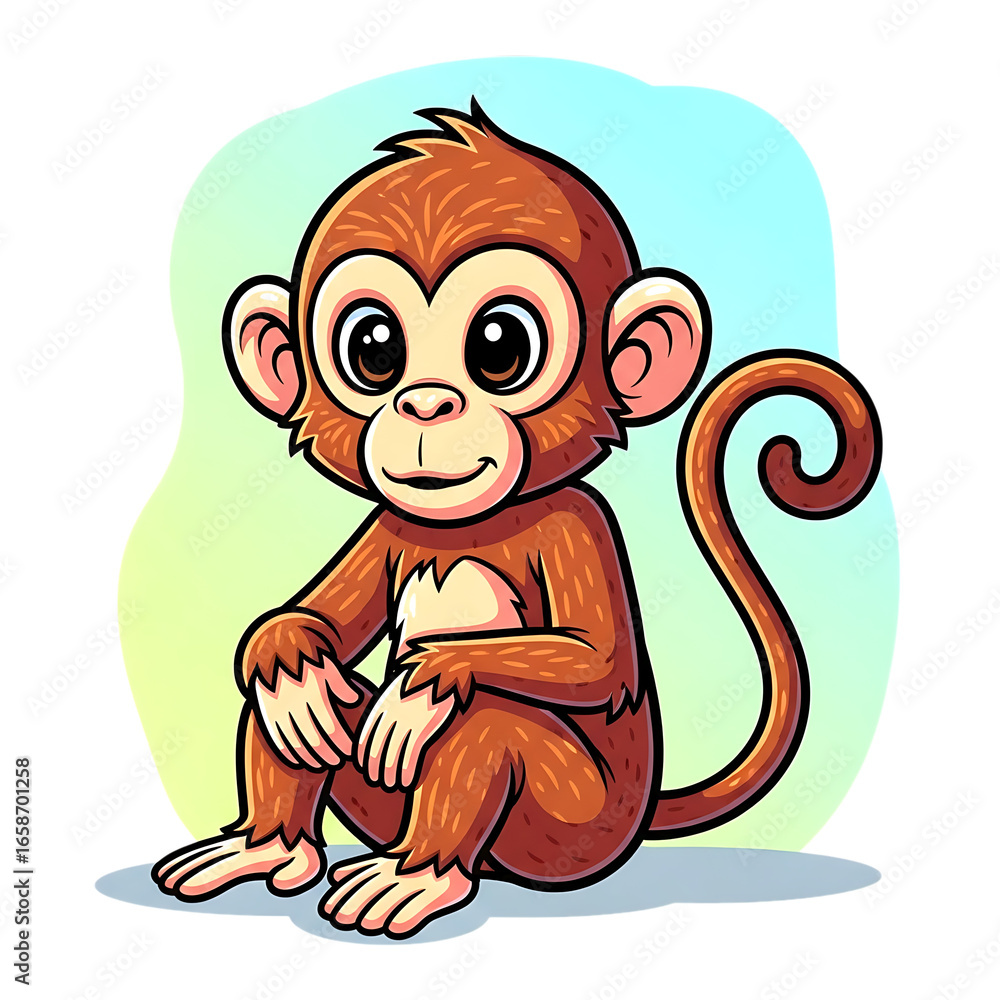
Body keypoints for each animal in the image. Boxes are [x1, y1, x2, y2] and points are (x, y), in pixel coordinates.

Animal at [151, 101, 881, 939]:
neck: (465, 529)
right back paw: (268, 845)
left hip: (570, 831)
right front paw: (284, 653)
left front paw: (437, 670)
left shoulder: (577, 524)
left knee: (486, 720)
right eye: (374, 349)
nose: (426, 404)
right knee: (309, 706)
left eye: (500, 346)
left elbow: (595, 659)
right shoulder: (389, 524)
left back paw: (418, 872)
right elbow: (310, 632)